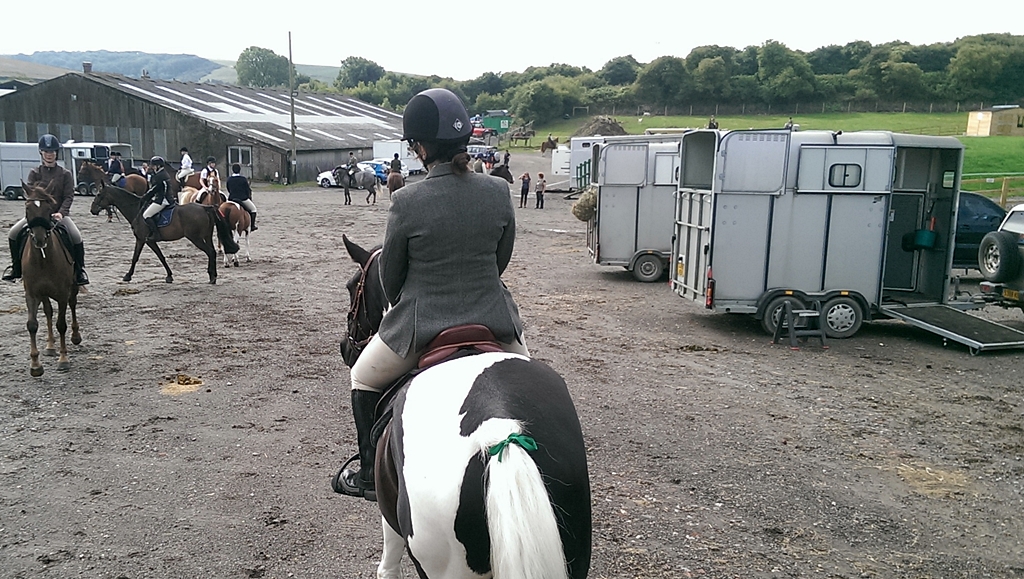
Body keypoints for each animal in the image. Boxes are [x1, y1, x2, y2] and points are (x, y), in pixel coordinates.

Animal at [19, 181, 82, 377]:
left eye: (49, 209)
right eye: (27, 208)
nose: (39, 239)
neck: (42, 259)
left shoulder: (62, 294)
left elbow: (61, 324)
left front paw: (63, 359)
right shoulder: (31, 294)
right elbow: (32, 325)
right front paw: (35, 365)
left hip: (72, 288)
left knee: (72, 304)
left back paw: (75, 336)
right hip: (44, 293)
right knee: (48, 312)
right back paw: (50, 345)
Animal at [88, 183, 239, 284]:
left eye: (99, 195)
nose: (92, 210)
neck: (137, 210)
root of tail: (205, 207)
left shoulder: (144, 240)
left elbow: (139, 257)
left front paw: (127, 275)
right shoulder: (147, 240)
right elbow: (157, 257)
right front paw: (169, 276)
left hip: (195, 238)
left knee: (210, 252)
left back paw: (212, 277)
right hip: (206, 236)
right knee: (212, 251)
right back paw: (213, 275)